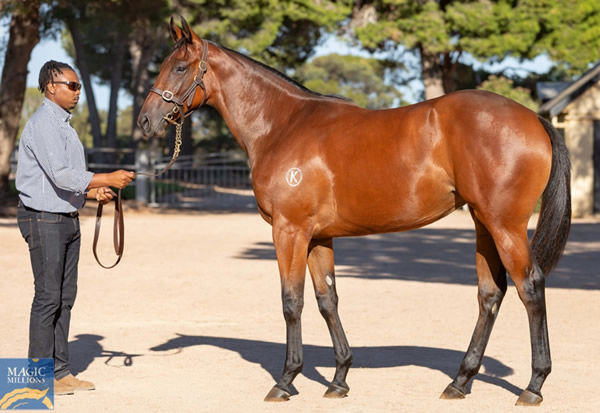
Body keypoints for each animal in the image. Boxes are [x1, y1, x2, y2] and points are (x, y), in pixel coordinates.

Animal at [137, 17, 572, 404]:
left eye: (179, 67)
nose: (145, 121)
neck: (283, 126)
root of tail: (535, 119)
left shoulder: (289, 230)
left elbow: (291, 301)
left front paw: (286, 380)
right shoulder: (318, 236)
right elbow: (327, 299)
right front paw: (339, 379)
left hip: (505, 226)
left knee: (530, 287)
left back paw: (534, 385)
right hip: (484, 224)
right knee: (490, 294)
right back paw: (460, 382)